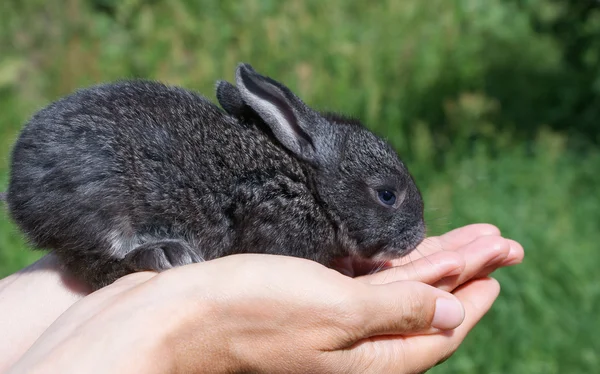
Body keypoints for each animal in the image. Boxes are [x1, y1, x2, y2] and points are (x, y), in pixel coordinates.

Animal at [5, 63, 426, 290]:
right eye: (387, 195)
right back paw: (165, 252)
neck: (311, 188)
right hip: (98, 212)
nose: (418, 235)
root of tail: (16, 187)